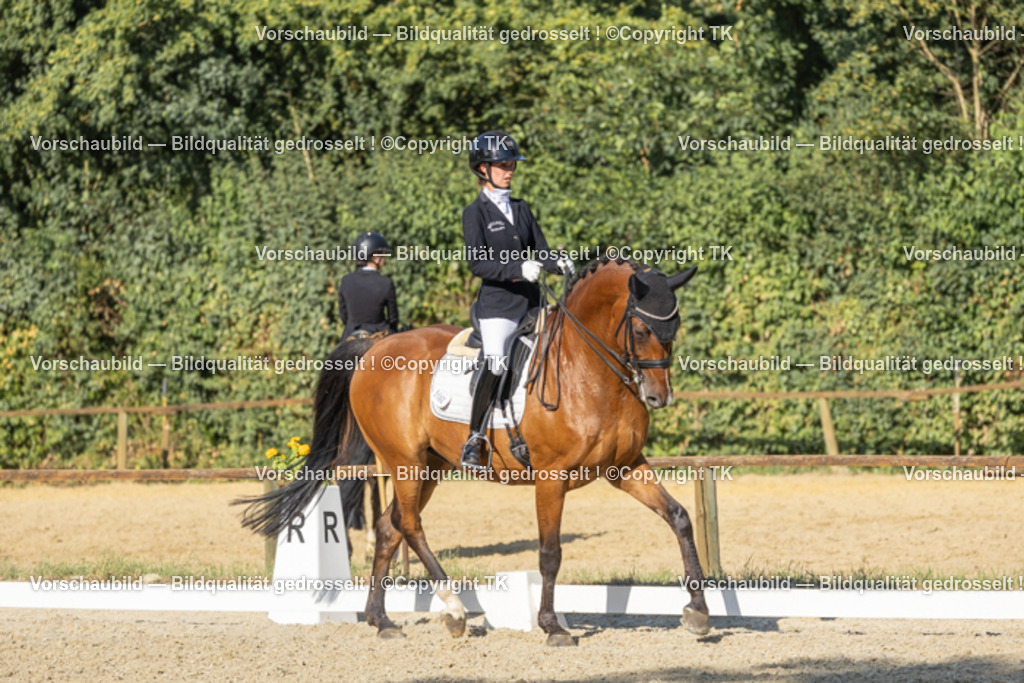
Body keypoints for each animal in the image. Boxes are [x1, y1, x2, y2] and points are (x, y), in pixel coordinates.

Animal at [237, 256, 709, 646]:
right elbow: (550, 552)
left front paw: (698, 611)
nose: (658, 397)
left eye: (675, 328)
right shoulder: (550, 478)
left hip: (430, 466)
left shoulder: (624, 467)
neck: (587, 372)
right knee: (410, 525)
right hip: (405, 463)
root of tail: (375, 347)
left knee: (390, 528)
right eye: (642, 329)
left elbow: (679, 517)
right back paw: (454, 610)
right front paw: (552, 627)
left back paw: (382, 620)